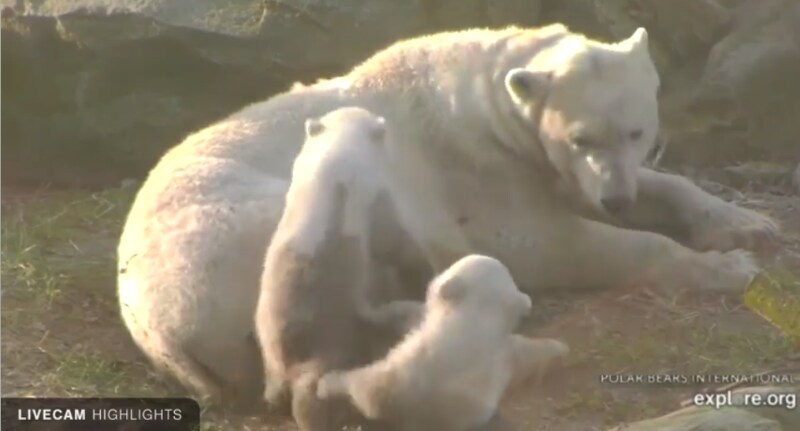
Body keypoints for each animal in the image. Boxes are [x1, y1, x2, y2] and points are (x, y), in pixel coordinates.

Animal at [255, 106, 428, 430]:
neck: (336, 157)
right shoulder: (375, 192)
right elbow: (394, 240)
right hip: (330, 339)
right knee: (315, 389)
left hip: (268, 339)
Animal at [316, 253, 572, 431]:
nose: (433, 275)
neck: (473, 328)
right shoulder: (504, 353)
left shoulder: (418, 367)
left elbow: (373, 390)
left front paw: (327, 383)